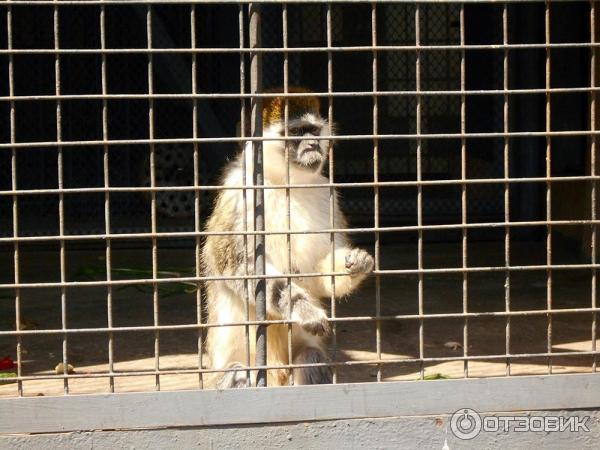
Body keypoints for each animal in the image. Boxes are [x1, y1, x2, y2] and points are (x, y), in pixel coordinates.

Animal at [202, 87, 372, 386]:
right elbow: (239, 267)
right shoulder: (238, 195)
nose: (313, 146)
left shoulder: (327, 195)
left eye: (313, 131)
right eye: (295, 132)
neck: (283, 183)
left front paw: (355, 263)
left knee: (311, 359)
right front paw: (301, 308)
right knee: (237, 373)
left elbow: (317, 275)